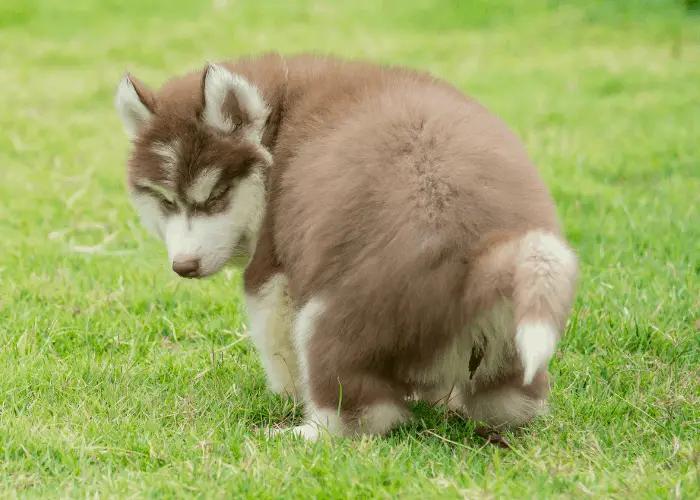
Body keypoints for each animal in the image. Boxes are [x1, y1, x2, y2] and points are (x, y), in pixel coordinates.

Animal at [115, 52, 576, 440]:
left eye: (214, 197)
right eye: (166, 201)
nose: (184, 266)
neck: (279, 122)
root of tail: (480, 258)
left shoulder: (273, 270)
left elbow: (275, 341)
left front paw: (286, 395)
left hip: (328, 319)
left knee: (363, 414)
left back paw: (300, 432)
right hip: (509, 344)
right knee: (510, 403)